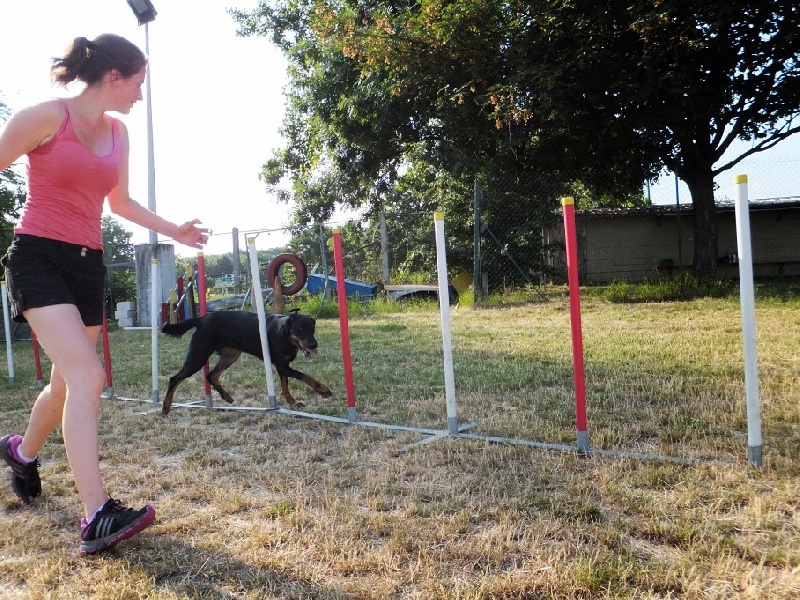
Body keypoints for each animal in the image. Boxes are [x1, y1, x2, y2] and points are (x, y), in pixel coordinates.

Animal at [160, 309, 332, 415]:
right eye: (301, 328)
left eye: (312, 328)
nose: (314, 345)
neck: (284, 333)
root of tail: (202, 319)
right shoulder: (282, 366)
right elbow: (305, 376)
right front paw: (323, 389)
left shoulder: (282, 367)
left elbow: (285, 386)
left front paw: (292, 402)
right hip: (198, 356)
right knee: (175, 378)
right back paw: (166, 406)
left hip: (231, 355)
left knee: (211, 375)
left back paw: (226, 396)